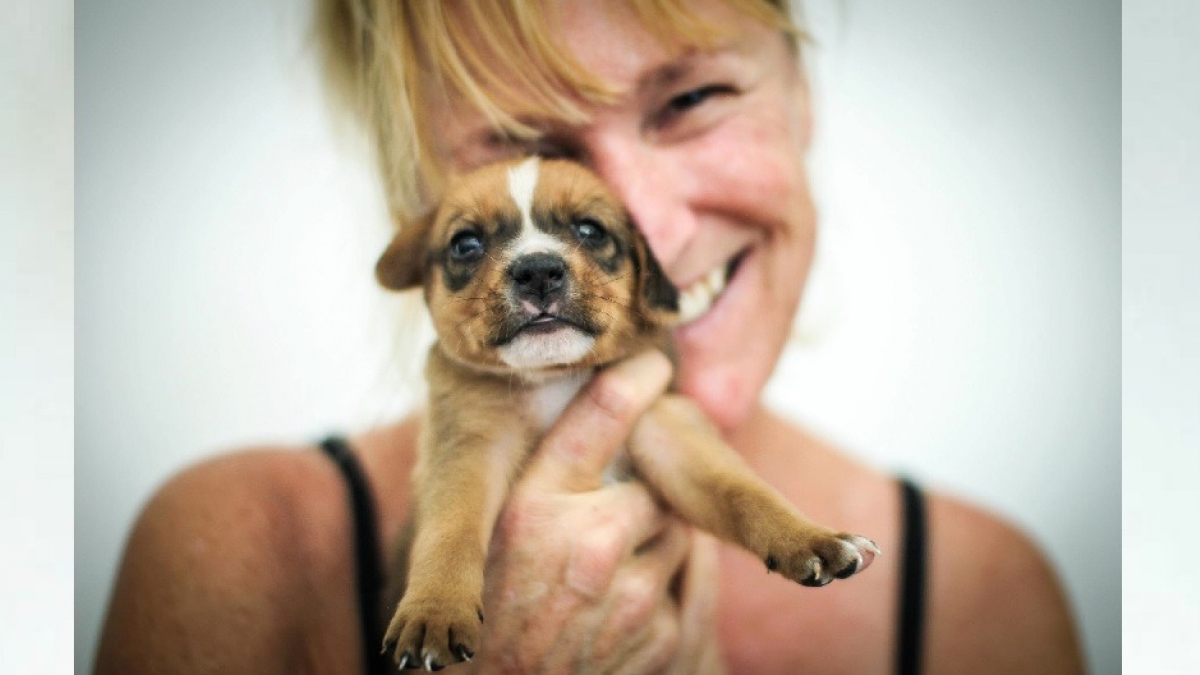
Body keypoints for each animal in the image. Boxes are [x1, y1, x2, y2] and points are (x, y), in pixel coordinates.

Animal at [374, 157, 883, 667]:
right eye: (466, 243)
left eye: (589, 230)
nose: (538, 270)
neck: (554, 378)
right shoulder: (468, 448)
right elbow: (450, 529)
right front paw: (435, 608)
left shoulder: (668, 434)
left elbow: (742, 492)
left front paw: (808, 538)